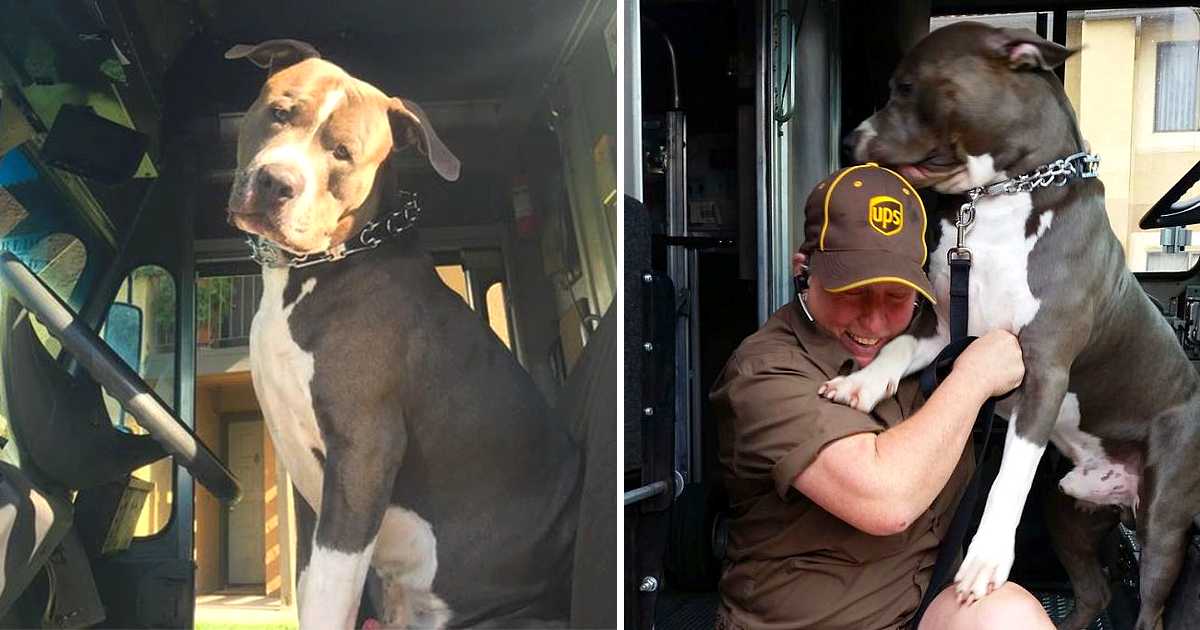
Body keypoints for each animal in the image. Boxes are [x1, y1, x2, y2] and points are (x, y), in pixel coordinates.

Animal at [228, 40, 580, 628]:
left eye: (343, 153)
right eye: (279, 112)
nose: (277, 182)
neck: (324, 265)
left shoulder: (364, 451)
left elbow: (328, 594)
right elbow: (310, 583)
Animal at [835, 20, 1200, 628]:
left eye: (905, 87)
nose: (848, 141)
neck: (1005, 198)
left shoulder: (1045, 371)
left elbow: (1008, 477)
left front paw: (984, 560)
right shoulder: (943, 329)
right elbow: (894, 348)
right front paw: (859, 384)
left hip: (1164, 520)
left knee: (1150, 606)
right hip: (1069, 508)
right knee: (1095, 591)